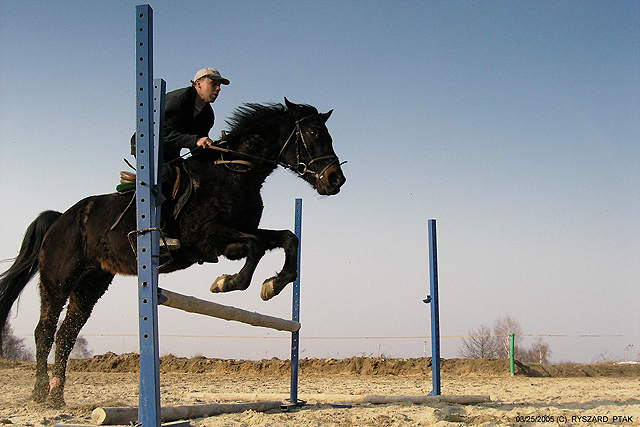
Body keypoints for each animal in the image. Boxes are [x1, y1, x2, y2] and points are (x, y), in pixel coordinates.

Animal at [0, 98, 346, 407]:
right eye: (313, 133)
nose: (336, 180)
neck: (235, 172)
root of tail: (60, 218)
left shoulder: (238, 233)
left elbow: (287, 239)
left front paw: (273, 285)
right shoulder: (205, 236)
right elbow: (256, 249)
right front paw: (226, 282)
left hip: (91, 282)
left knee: (67, 334)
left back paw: (57, 397)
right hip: (58, 279)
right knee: (45, 331)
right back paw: (39, 394)